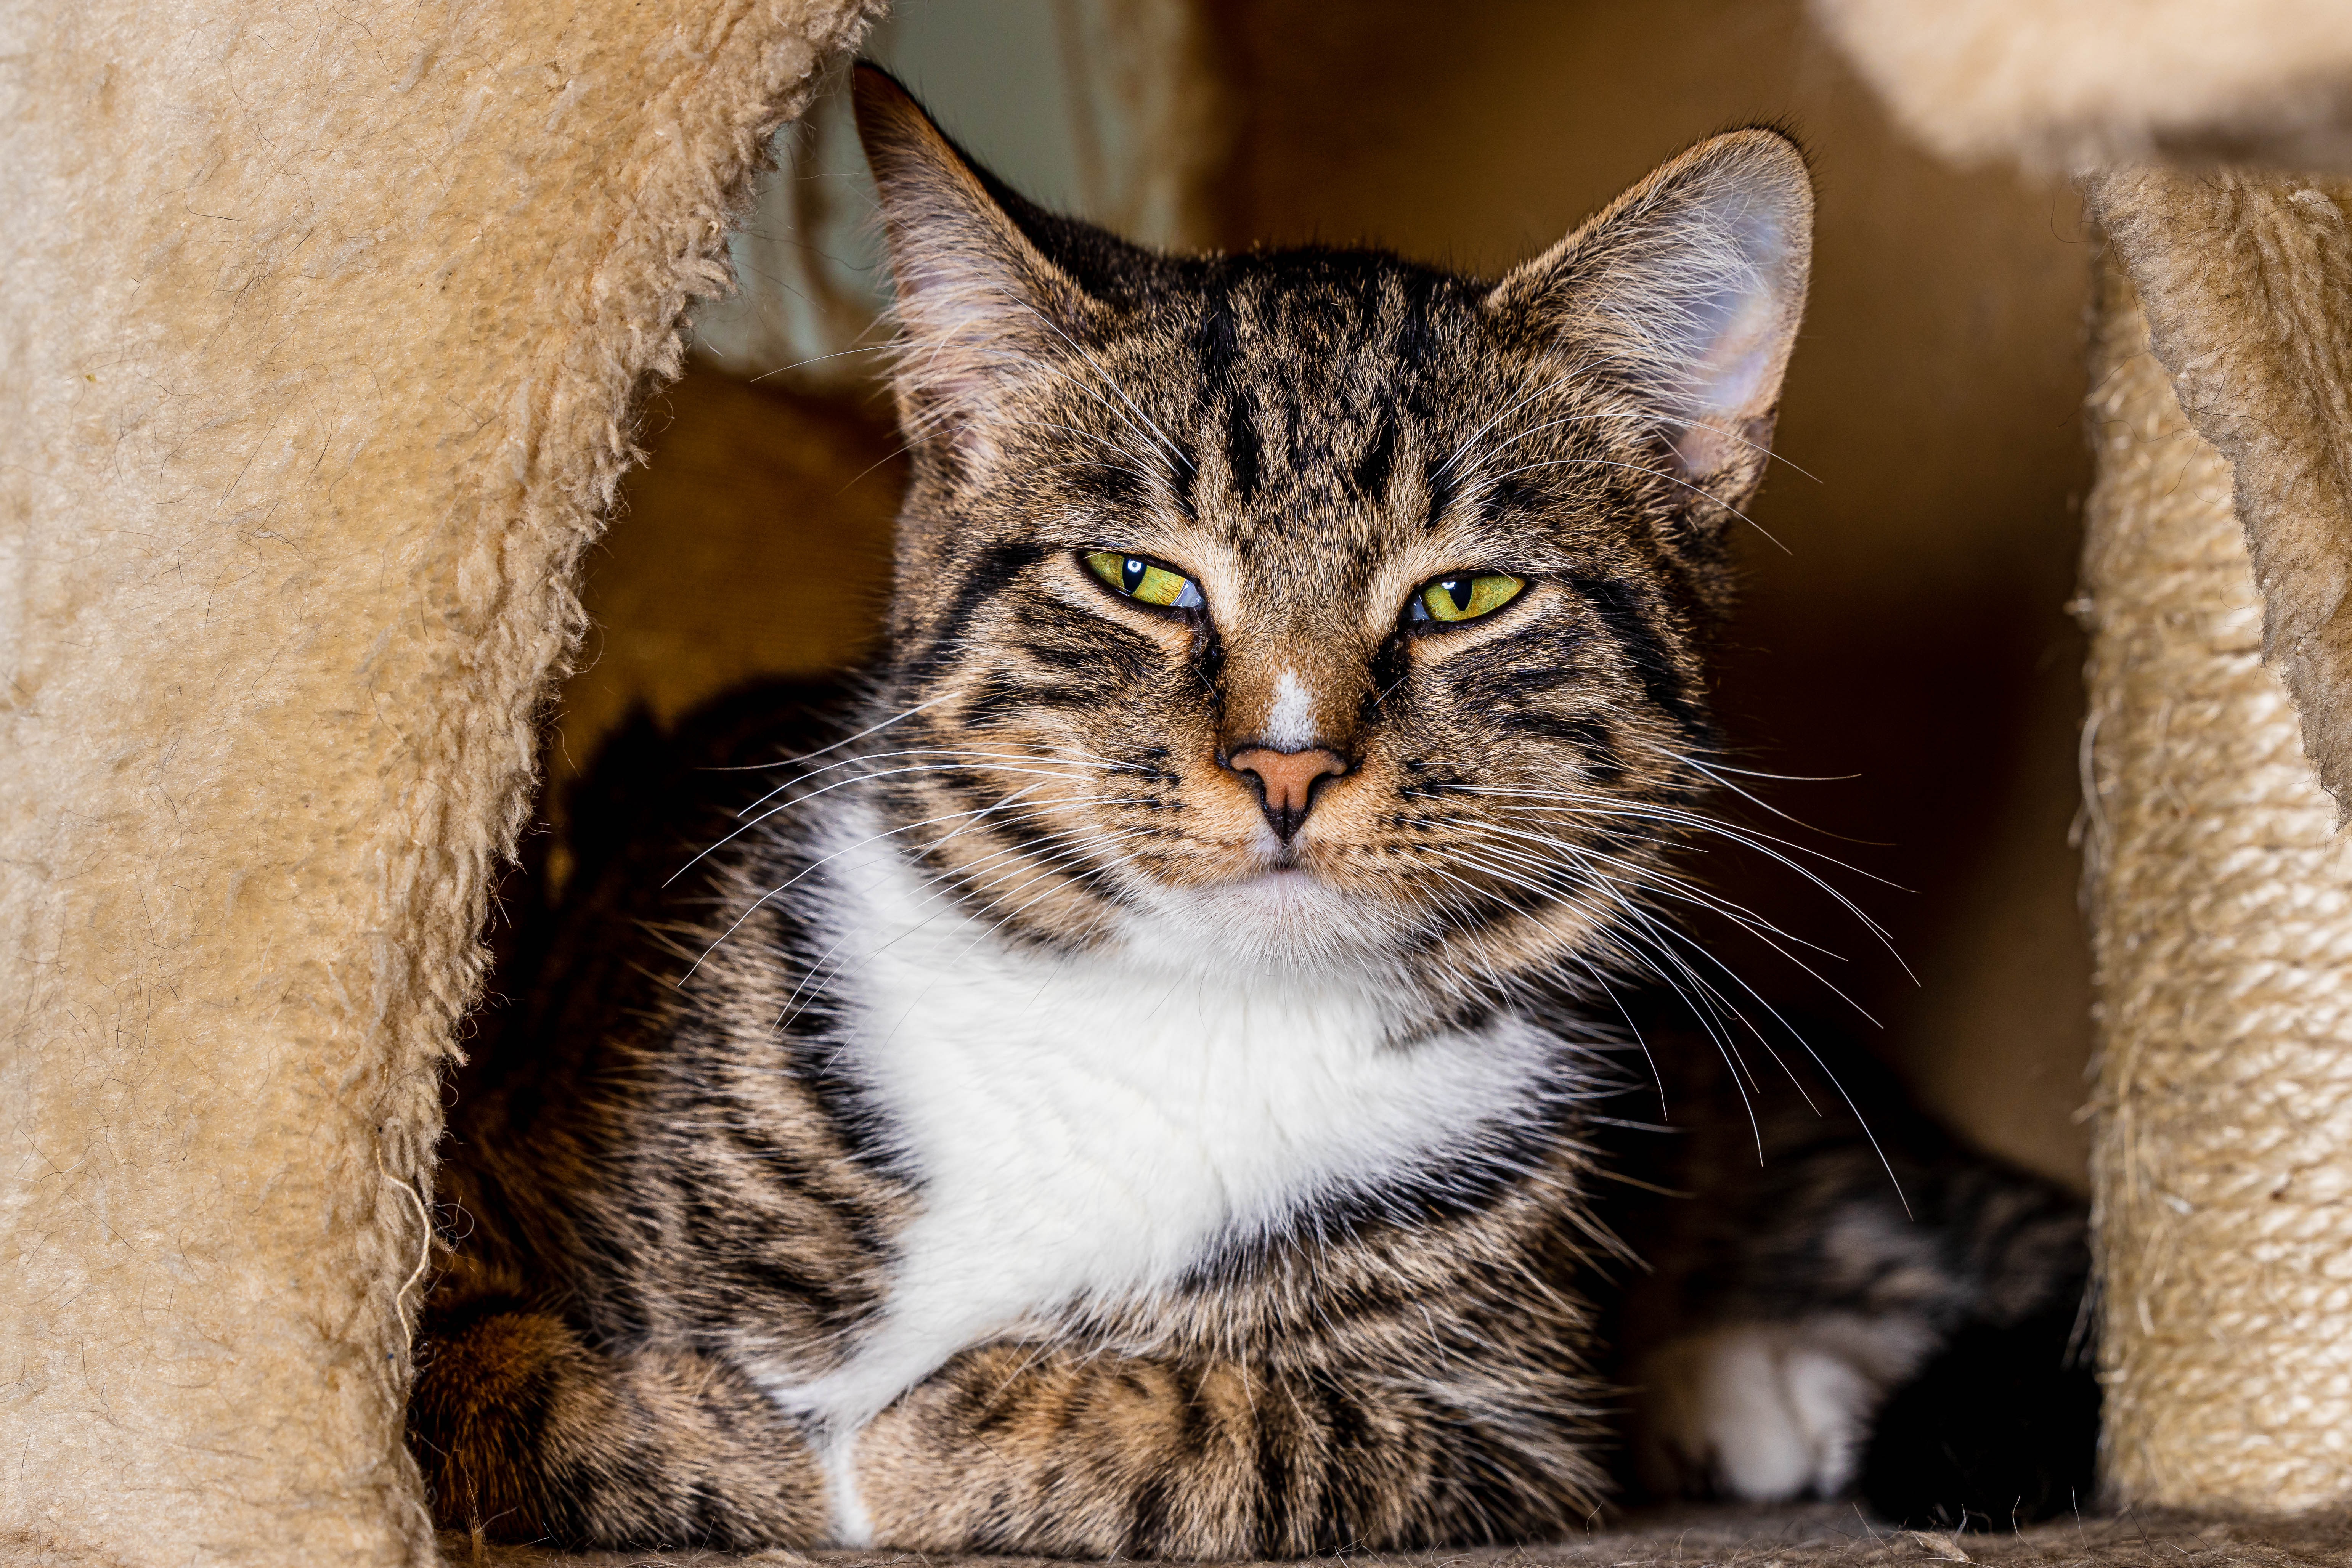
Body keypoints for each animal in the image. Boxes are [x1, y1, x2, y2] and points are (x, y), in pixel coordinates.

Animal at [409, 70, 2098, 1561]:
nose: (1287, 765)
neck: (1170, 1021)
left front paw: (909, 1431)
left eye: (1465, 595)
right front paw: (741, 1426)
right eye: (1140, 577)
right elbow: (483, 1365)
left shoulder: (1494, 1425)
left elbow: (1230, 1425)